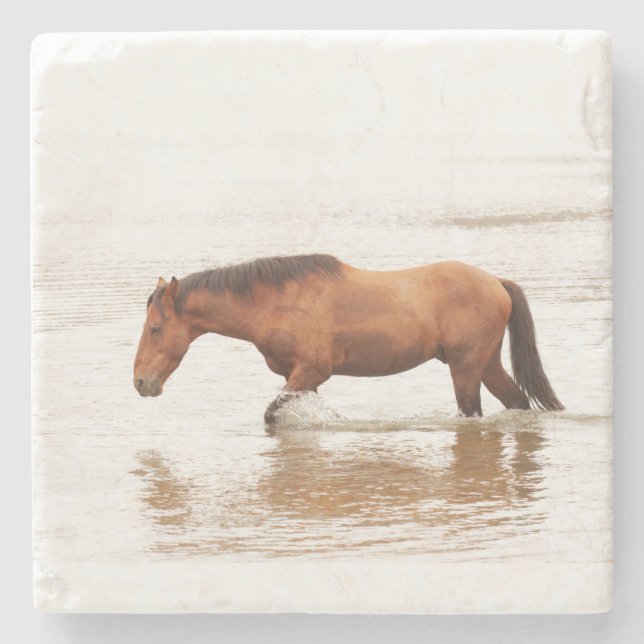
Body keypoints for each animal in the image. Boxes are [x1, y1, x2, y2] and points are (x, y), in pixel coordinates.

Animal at [133, 254, 563, 422]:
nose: (140, 382)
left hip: (466, 370)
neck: (276, 302)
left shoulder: (311, 371)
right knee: (517, 401)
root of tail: (496, 283)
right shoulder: (300, 377)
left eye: (156, 329)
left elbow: (273, 416)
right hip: (486, 365)